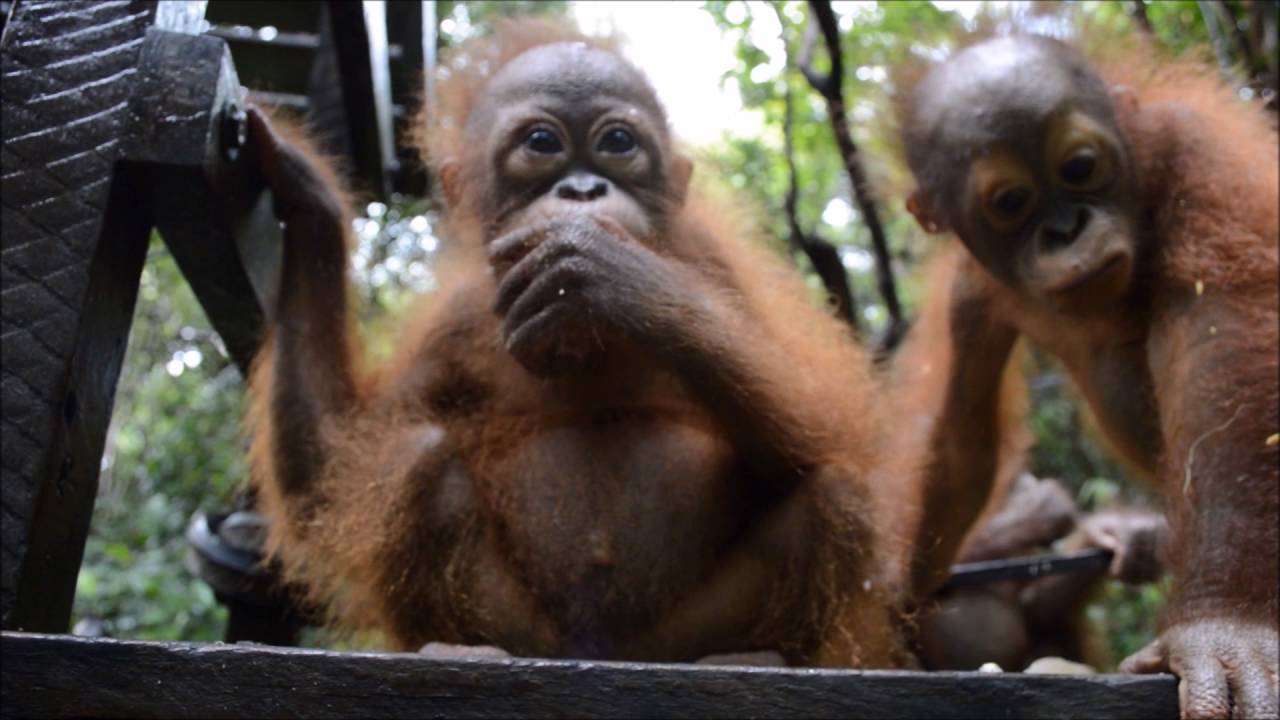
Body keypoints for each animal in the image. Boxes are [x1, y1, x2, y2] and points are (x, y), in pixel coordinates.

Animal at [243, 21, 914, 668]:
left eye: (617, 143)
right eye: (542, 144)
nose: (583, 191)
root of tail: (608, 654)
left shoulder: (713, 260)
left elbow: (838, 420)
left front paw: (604, 269)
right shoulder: (454, 323)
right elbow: (327, 475)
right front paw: (312, 204)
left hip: (675, 635)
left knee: (838, 490)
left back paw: (748, 654)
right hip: (536, 633)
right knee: (417, 455)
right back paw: (460, 644)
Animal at [898, 35, 1278, 718]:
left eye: (1079, 167)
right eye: (1011, 202)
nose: (1066, 228)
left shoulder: (1197, 153)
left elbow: (1226, 350)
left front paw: (1227, 629)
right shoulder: (969, 290)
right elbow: (963, 442)